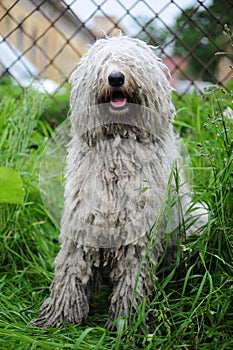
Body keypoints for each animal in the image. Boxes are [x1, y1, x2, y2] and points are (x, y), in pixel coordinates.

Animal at [30, 34, 207, 330]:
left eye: (131, 62)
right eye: (102, 64)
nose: (115, 77)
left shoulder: (139, 235)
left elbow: (132, 279)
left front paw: (127, 322)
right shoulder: (82, 220)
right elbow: (70, 270)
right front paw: (60, 316)